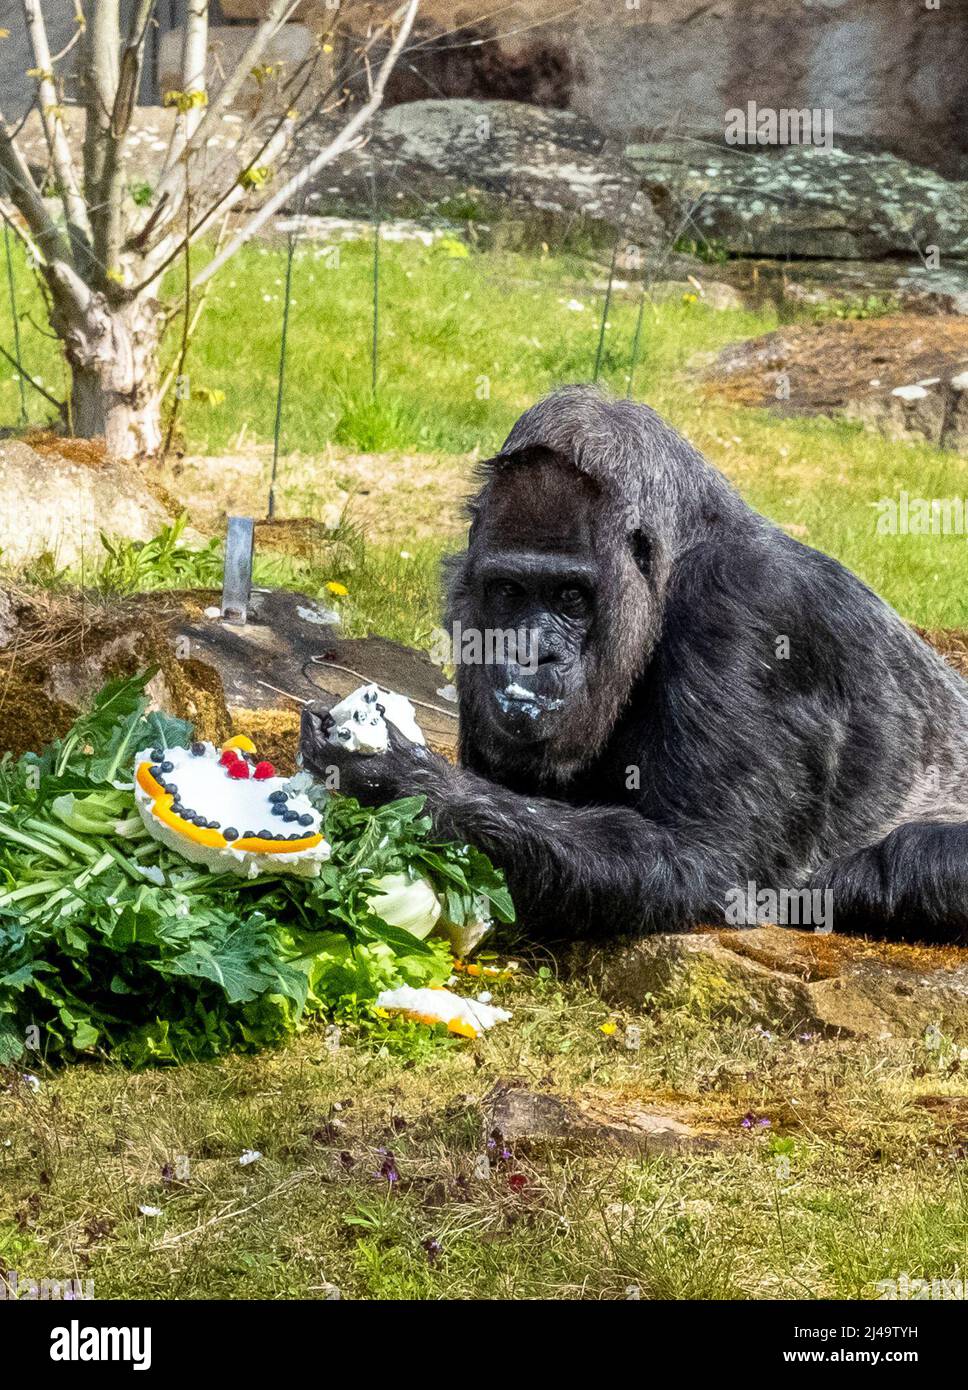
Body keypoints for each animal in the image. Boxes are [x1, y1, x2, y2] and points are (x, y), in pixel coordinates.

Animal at [299, 386, 968, 939]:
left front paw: (398, 778)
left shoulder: (753, 605)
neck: (680, 553)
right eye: (509, 592)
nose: (527, 651)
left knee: (911, 860)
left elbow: (705, 864)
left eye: (571, 597)